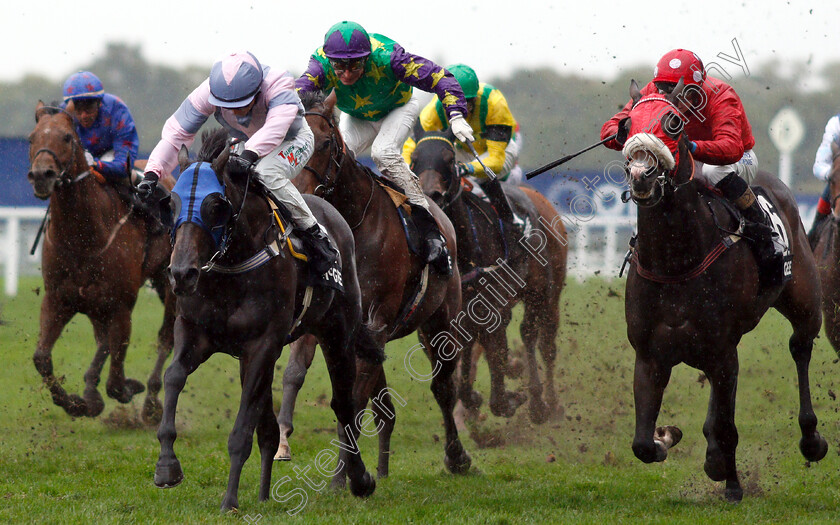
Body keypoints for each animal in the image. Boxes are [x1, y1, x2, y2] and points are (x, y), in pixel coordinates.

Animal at [27, 101, 175, 422]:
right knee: (103, 340)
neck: (82, 238)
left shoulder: (121, 305)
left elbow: (117, 380)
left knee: (165, 339)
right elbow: (42, 358)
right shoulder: (59, 298)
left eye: (67, 137)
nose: (42, 175)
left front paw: (129, 388)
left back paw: (151, 402)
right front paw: (77, 402)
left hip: (171, 284)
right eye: (32, 138)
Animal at [152, 129, 374, 510]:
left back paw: (359, 480)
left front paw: (229, 499)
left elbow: (242, 429)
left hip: (337, 335)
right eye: (172, 205)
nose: (181, 273)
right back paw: (264, 493)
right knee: (269, 427)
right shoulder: (196, 334)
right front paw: (167, 466)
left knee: (344, 406)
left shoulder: (262, 345)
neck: (231, 267)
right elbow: (174, 377)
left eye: (215, 206)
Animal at [276, 91, 472, 484]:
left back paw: (456, 456)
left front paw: (341, 476)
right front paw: (284, 440)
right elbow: (295, 375)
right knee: (382, 404)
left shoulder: (377, 319)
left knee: (443, 387)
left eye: (324, 143)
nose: (298, 198)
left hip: (439, 322)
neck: (355, 226)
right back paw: (382, 467)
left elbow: (352, 401)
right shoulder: (329, 322)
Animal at [408, 131, 568, 422]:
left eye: (449, 159)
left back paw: (546, 403)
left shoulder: (492, 309)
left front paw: (507, 399)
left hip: (546, 292)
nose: (429, 195)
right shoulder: (444, 320)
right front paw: (472, 398)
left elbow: (497, 356)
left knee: (540, 340)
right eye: (414, 158)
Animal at [624, 82, 828, 500]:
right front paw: (667, 435)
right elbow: (642, 443)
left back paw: (811, 439)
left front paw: (730, 481)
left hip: (804, 303)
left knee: (800, 348)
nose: (640, 175)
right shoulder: (649, 356)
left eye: (672, 123)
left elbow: (727, 425)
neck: (676, 263)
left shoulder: (723, 351)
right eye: (626, 124)